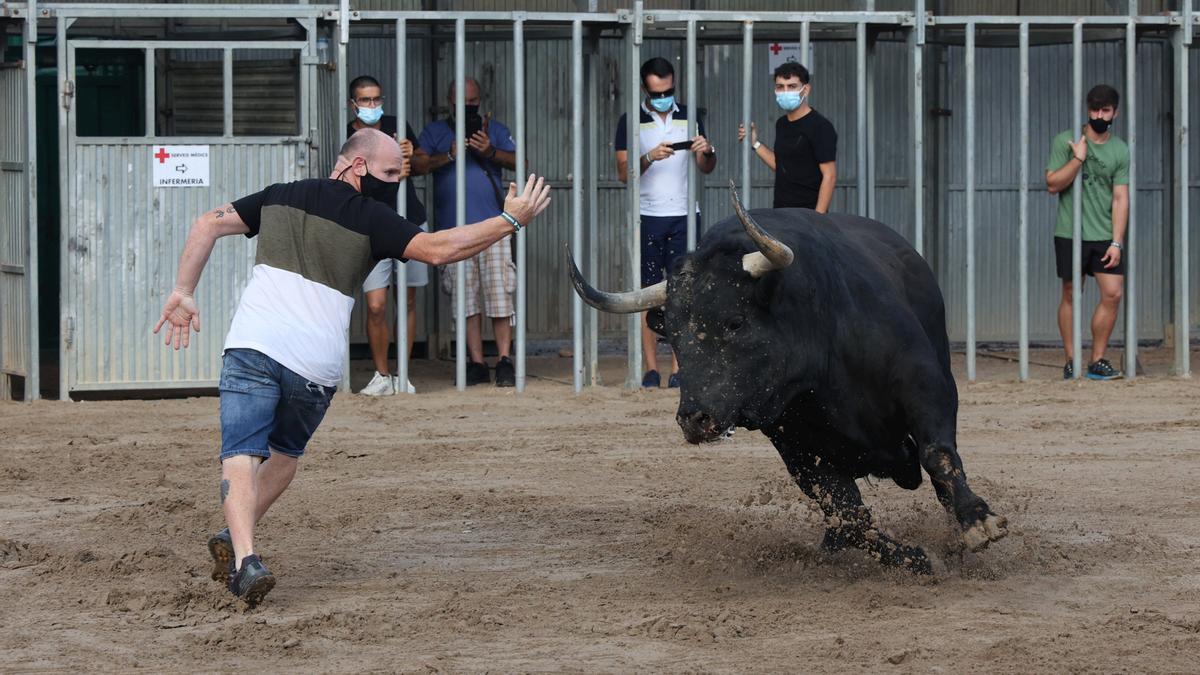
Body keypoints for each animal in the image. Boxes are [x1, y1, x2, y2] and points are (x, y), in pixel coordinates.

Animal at [566, 184, 1008, 571]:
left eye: (735, 321)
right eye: (671, 335)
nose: (694, 419)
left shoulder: (925, 382)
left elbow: (938, 454)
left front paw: (977, 522)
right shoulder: (795, 446)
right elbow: (849, 514)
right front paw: (914, 558)